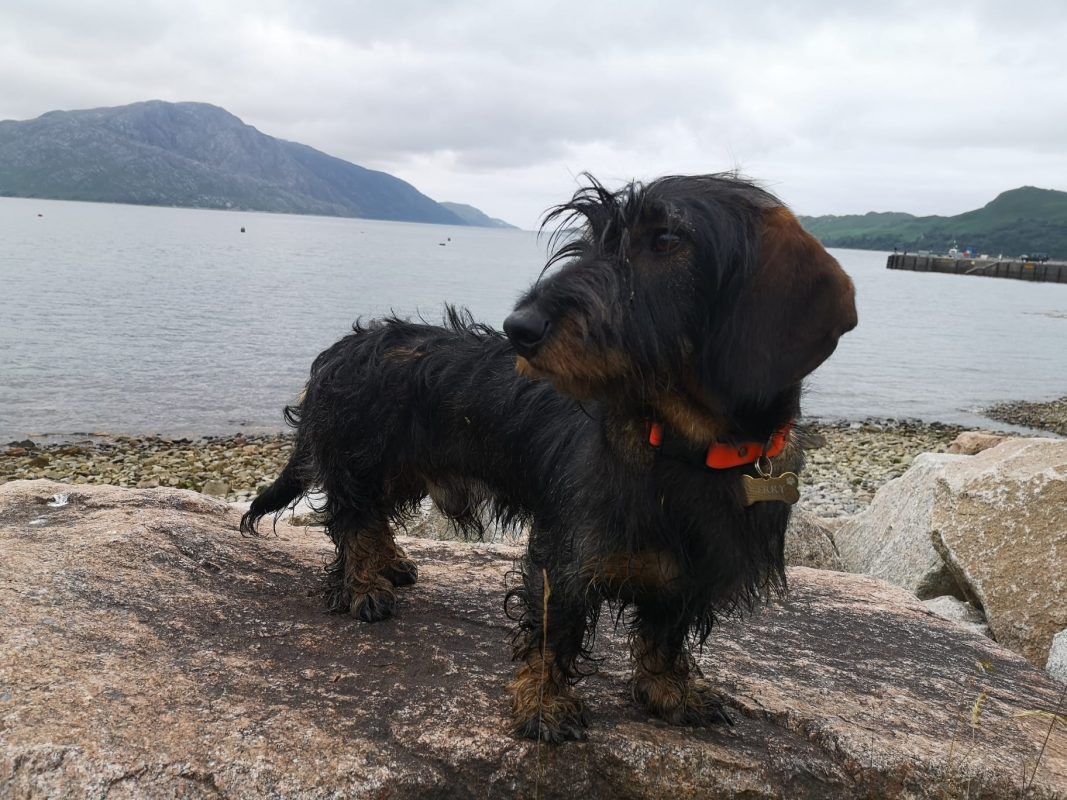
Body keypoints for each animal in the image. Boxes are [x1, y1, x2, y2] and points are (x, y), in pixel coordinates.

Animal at [242, 172, 857, 742]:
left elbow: (665, 631)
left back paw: (388, 566)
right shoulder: (567, 556)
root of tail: (340, 351)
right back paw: (364, 586)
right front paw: (546, 705)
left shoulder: (691, 574)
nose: (519, 328)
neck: (682, 451)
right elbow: (553, 630)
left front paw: (671, 691)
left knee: (370, 521)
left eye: (665, 239)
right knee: (354, 523)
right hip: (361, 465)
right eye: (592, 238)